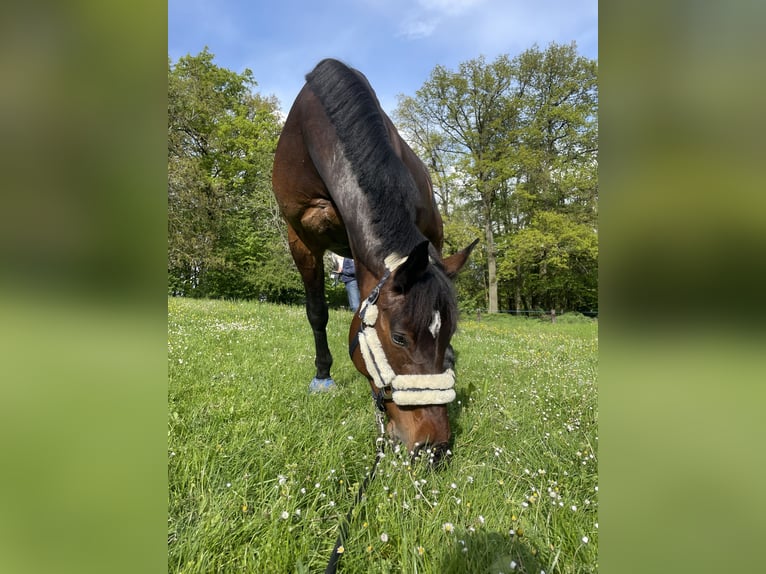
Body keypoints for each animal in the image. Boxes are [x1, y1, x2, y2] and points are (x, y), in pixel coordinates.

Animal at [270, 58, 474, 466]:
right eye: (398, 338)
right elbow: (316, 312)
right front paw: (322, 376)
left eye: (449, 332)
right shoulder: (300, 238)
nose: (434, 447)